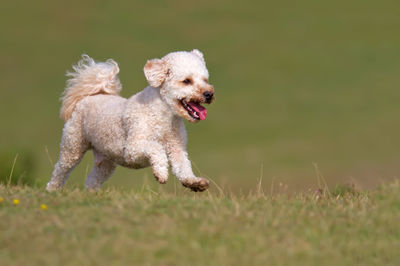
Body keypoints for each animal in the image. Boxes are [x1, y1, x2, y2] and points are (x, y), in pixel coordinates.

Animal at [46, 49, 216, 191]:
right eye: (186, 81)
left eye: (205, 79)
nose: (209, 94)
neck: (164, 116)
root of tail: (88, 96)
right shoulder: (133, 148)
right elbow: (156, 148)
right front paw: (161, 173)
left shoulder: (177, 149)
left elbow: (183, 168)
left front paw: (195, 183)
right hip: (72, 146)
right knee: (60, 170)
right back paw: (52, 190)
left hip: (106, 161)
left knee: (92, 180)